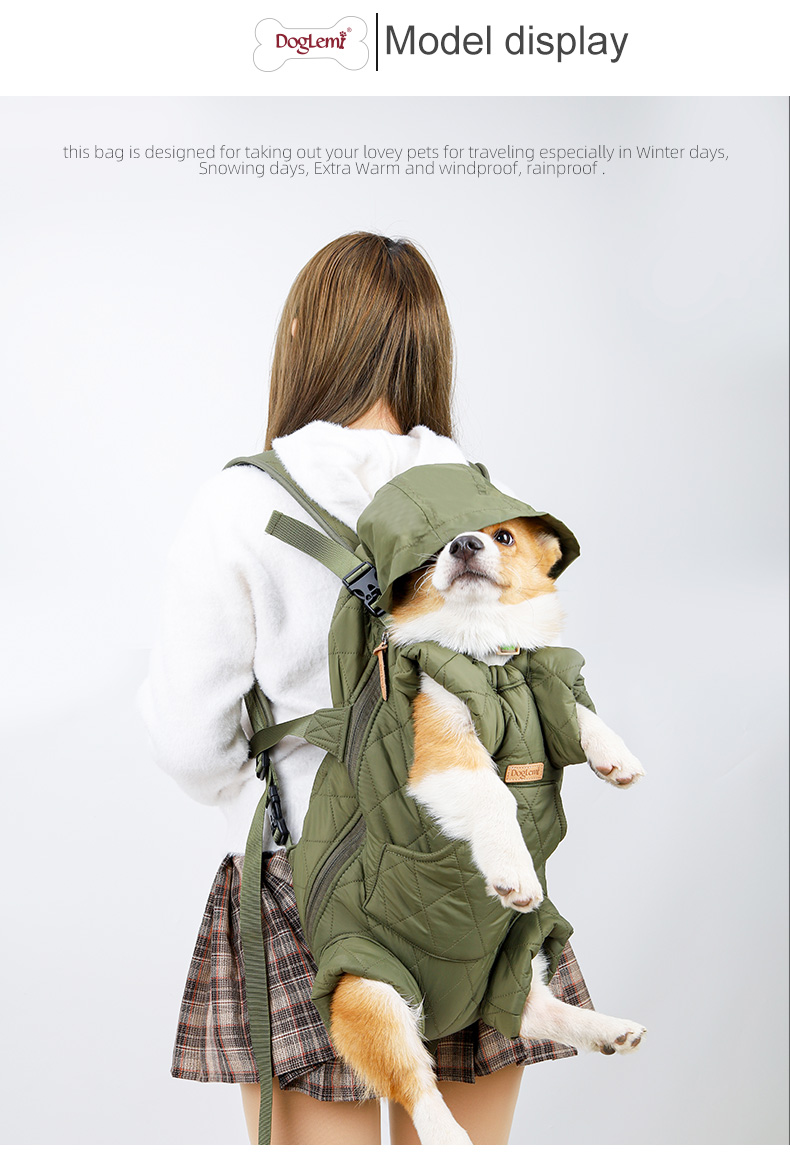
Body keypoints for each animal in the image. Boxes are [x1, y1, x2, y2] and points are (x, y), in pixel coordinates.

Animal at [328, 516, 646, 1144]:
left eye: (504, 537)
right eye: (433, 550)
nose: (464, 543)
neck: (490, 657)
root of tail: (449, 1016)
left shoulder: (543, 690)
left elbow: (577, 712)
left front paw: (615, 756)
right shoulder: (444, 750)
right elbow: (495, 795)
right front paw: (512, 870)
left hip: (524, 948)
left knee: (527, 1009)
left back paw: (606, 1029)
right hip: (372, 989)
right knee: (413, 1081)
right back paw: (448, 1134)